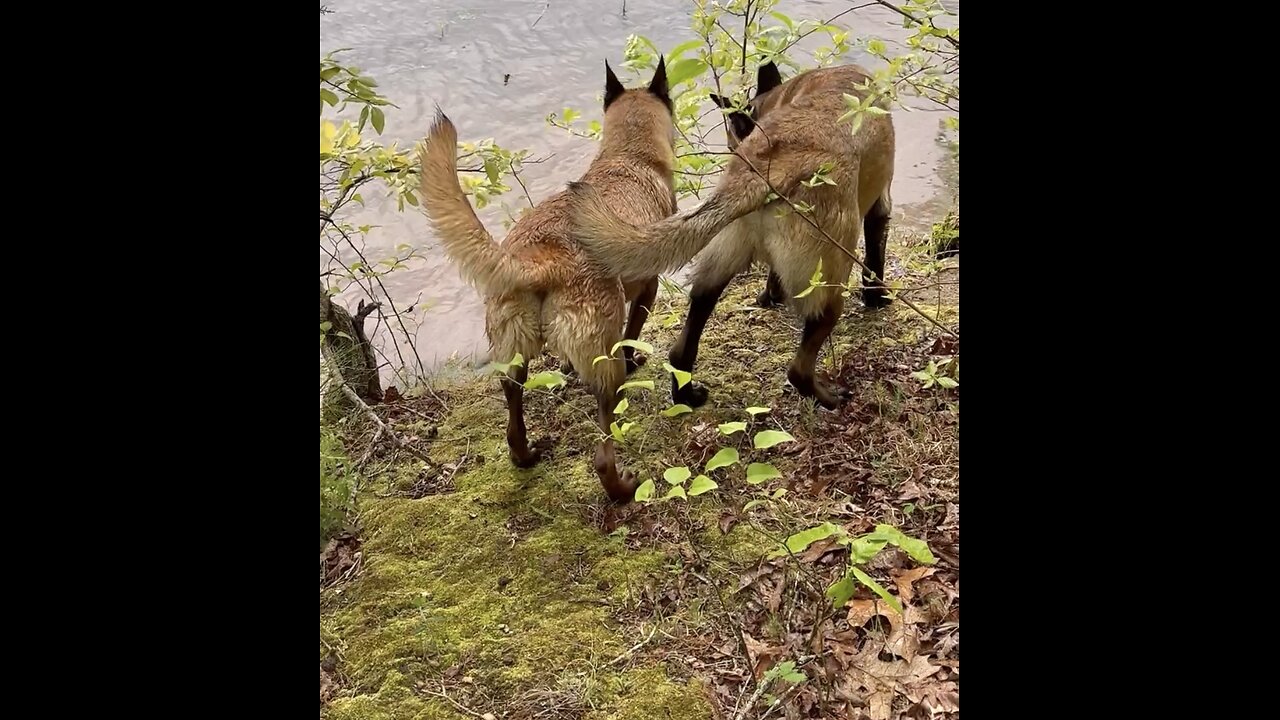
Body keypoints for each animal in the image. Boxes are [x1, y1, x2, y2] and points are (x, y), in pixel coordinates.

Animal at [414, 58, 675, 502]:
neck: (628, 155)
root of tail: (543, 260)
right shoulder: (647, 289)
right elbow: (634, 333)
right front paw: (635, 358)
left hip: (511, 348)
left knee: (512, 404)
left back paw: (524, 455)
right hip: (603, 364)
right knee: (602, 451)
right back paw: (621, 489)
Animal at [576, 63, 896, 409]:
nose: (732, 149)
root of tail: (765, 170)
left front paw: (769, 297)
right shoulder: (880, 203)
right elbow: (875, 257)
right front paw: (877, 298)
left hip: (722, 254)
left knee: (688, 331)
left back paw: (686, 393)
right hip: (827, 276)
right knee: (799, 366)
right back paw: (829, 397)